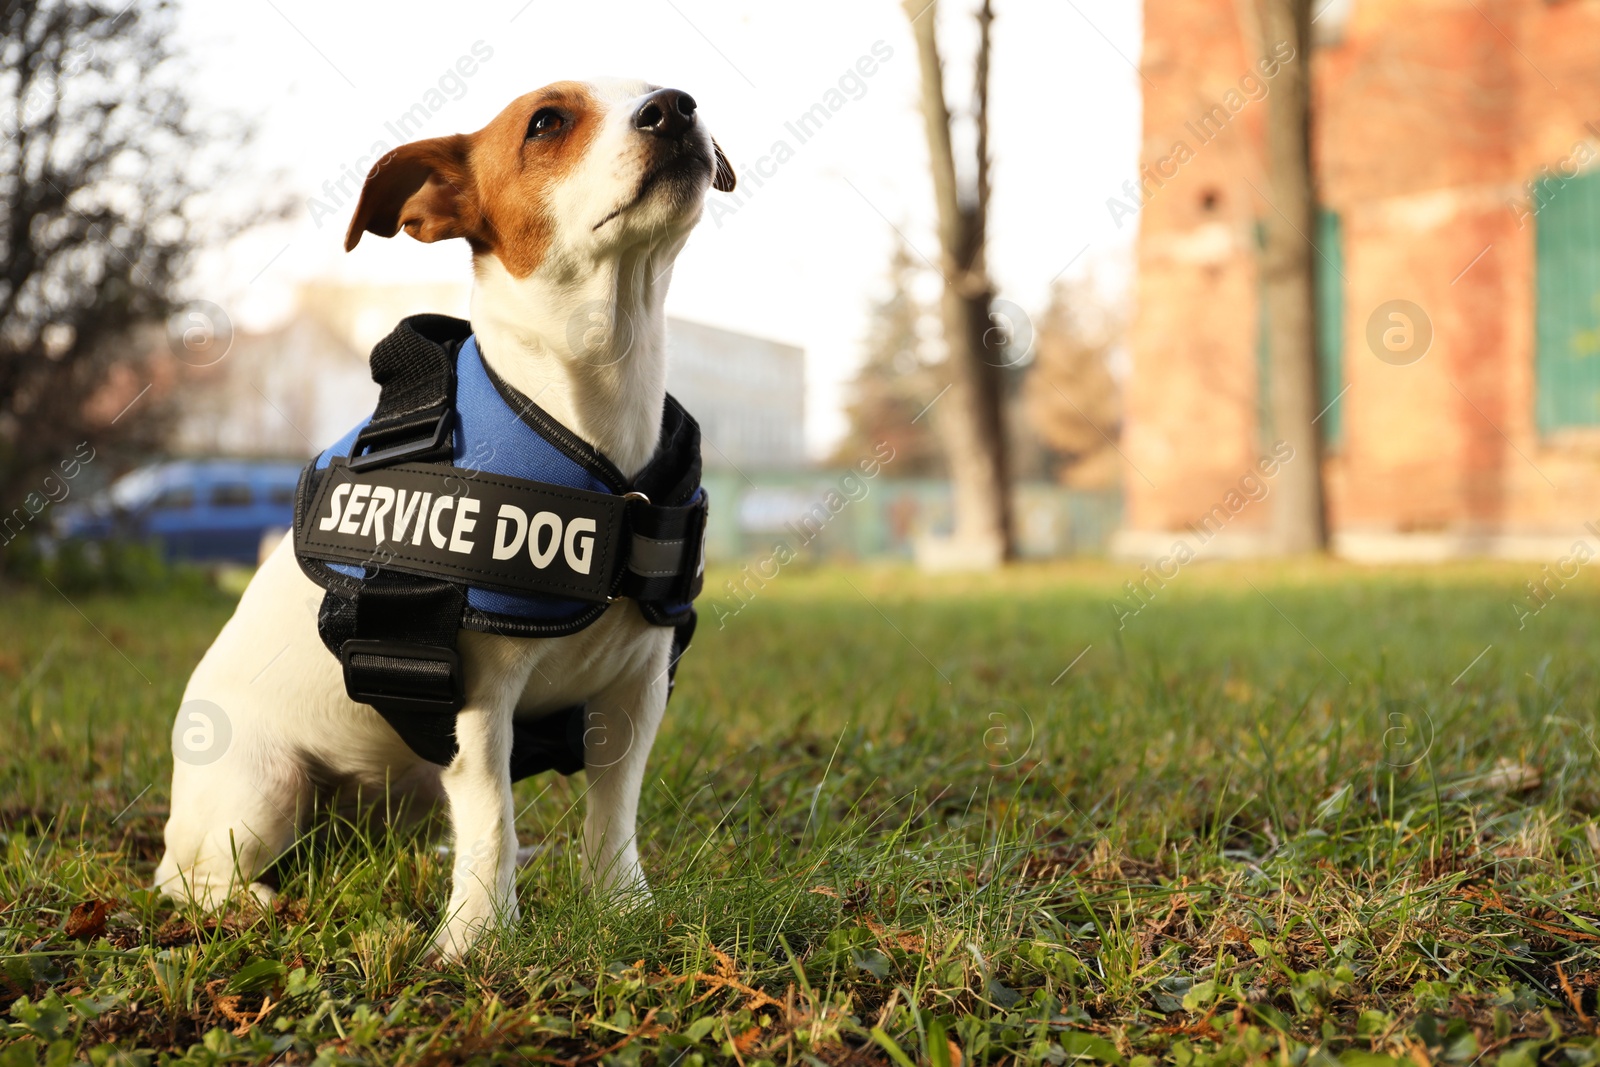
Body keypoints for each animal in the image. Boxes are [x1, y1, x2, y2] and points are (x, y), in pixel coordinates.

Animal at [154, 77, 736, 959]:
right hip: (263, 788)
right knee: (189, 875)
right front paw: (482, 935)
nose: (674, 107)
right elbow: (493, 814)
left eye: (669, 91)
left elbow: (613, 814)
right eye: (546, 123)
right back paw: (251, 898)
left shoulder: (633, 694)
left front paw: (620, 906)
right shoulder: (479, 702)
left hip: (411, 787)